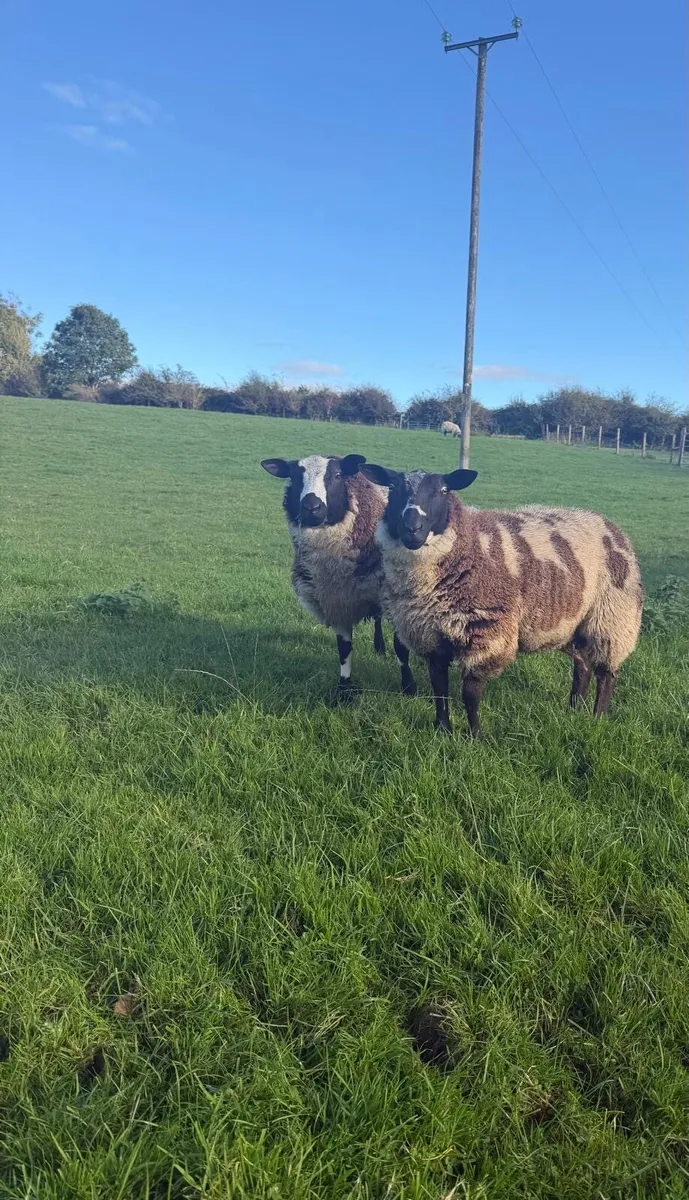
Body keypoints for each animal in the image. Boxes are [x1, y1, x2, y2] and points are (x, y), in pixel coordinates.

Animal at [260, 454, 417, 700]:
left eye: (336, 475)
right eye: (294, 476)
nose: (311, 507)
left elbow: (400, 647)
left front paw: (409, 687)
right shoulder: (336, 600)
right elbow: (344, 650)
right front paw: (344, 689)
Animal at [360, 464, 643, 737]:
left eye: (443, 490)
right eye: (393, 488)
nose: (412, 529)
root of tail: (608, 524)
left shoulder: (486, 633)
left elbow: (470, 693)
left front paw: (476, 737)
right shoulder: (430, 636)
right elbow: (439, 686)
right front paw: (441, 729)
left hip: (612, 617)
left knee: (606, 672)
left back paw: (598, 716)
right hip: (572, 622)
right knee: (582, 663)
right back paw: (574, 709)